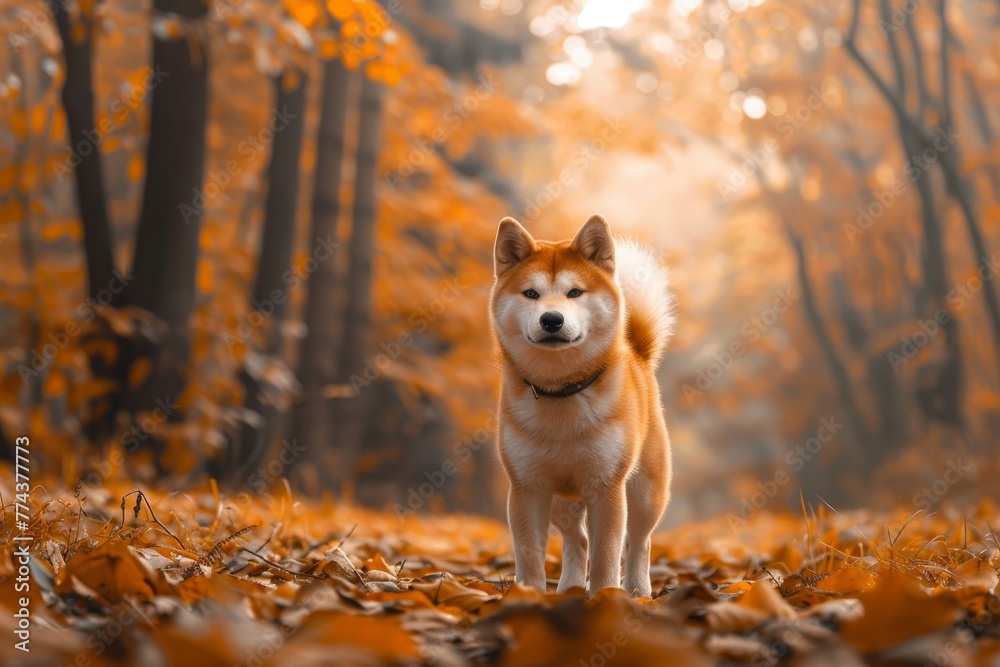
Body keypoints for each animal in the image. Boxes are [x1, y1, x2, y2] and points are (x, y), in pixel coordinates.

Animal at [488, 214, 676, 600]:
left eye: (575, 292)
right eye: (531, 293)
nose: (551, 320)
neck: (561, 394)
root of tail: (638, 354)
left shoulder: (606, 488)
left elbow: (607, 554)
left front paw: (605, 597)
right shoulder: (527, 488)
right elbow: (530, 554)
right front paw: (527, 596)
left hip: (646, 494)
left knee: (640, 543)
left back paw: (638, 590)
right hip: (562, 500)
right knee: (578, 541)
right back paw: (571, 586)